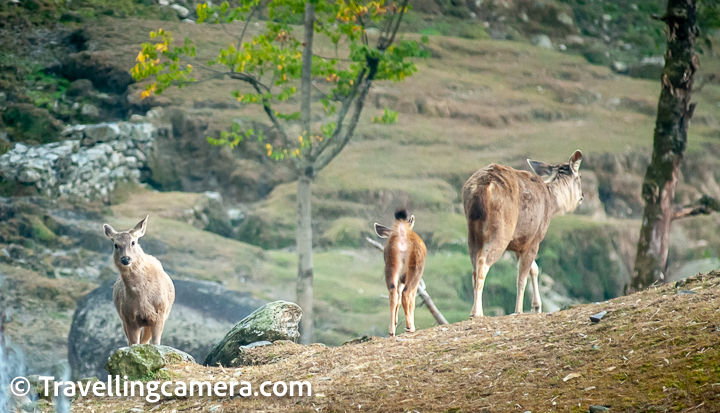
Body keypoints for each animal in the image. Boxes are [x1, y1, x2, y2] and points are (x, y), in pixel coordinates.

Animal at [102, 214, 176, 346]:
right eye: (116, 245)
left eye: (133, 242)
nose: (125, 259)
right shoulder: (128, 317)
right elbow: (134, 343)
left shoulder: (160, 312)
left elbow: (155, 342)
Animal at [374, 208, 424, 336]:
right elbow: (412, 300)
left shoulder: (401, 279)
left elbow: (398, 299)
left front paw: (396, 322)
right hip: (415, 268)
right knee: (406, 294)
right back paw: (410, 327)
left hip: (390, 266)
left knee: (393, 293)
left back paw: (391, 330)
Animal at [462, 150, 584, 318]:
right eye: (580, 177)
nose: (582, 196)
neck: (552, 204)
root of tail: (482, 187)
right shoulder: (535, 238)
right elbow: (522, 277)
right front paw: (519, 310)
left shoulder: (520, 243)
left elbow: (534, 268)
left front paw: (537, 306)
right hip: (502, 229)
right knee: (482, 263)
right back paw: (476, 313)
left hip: (472, 231)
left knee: (474, 267)